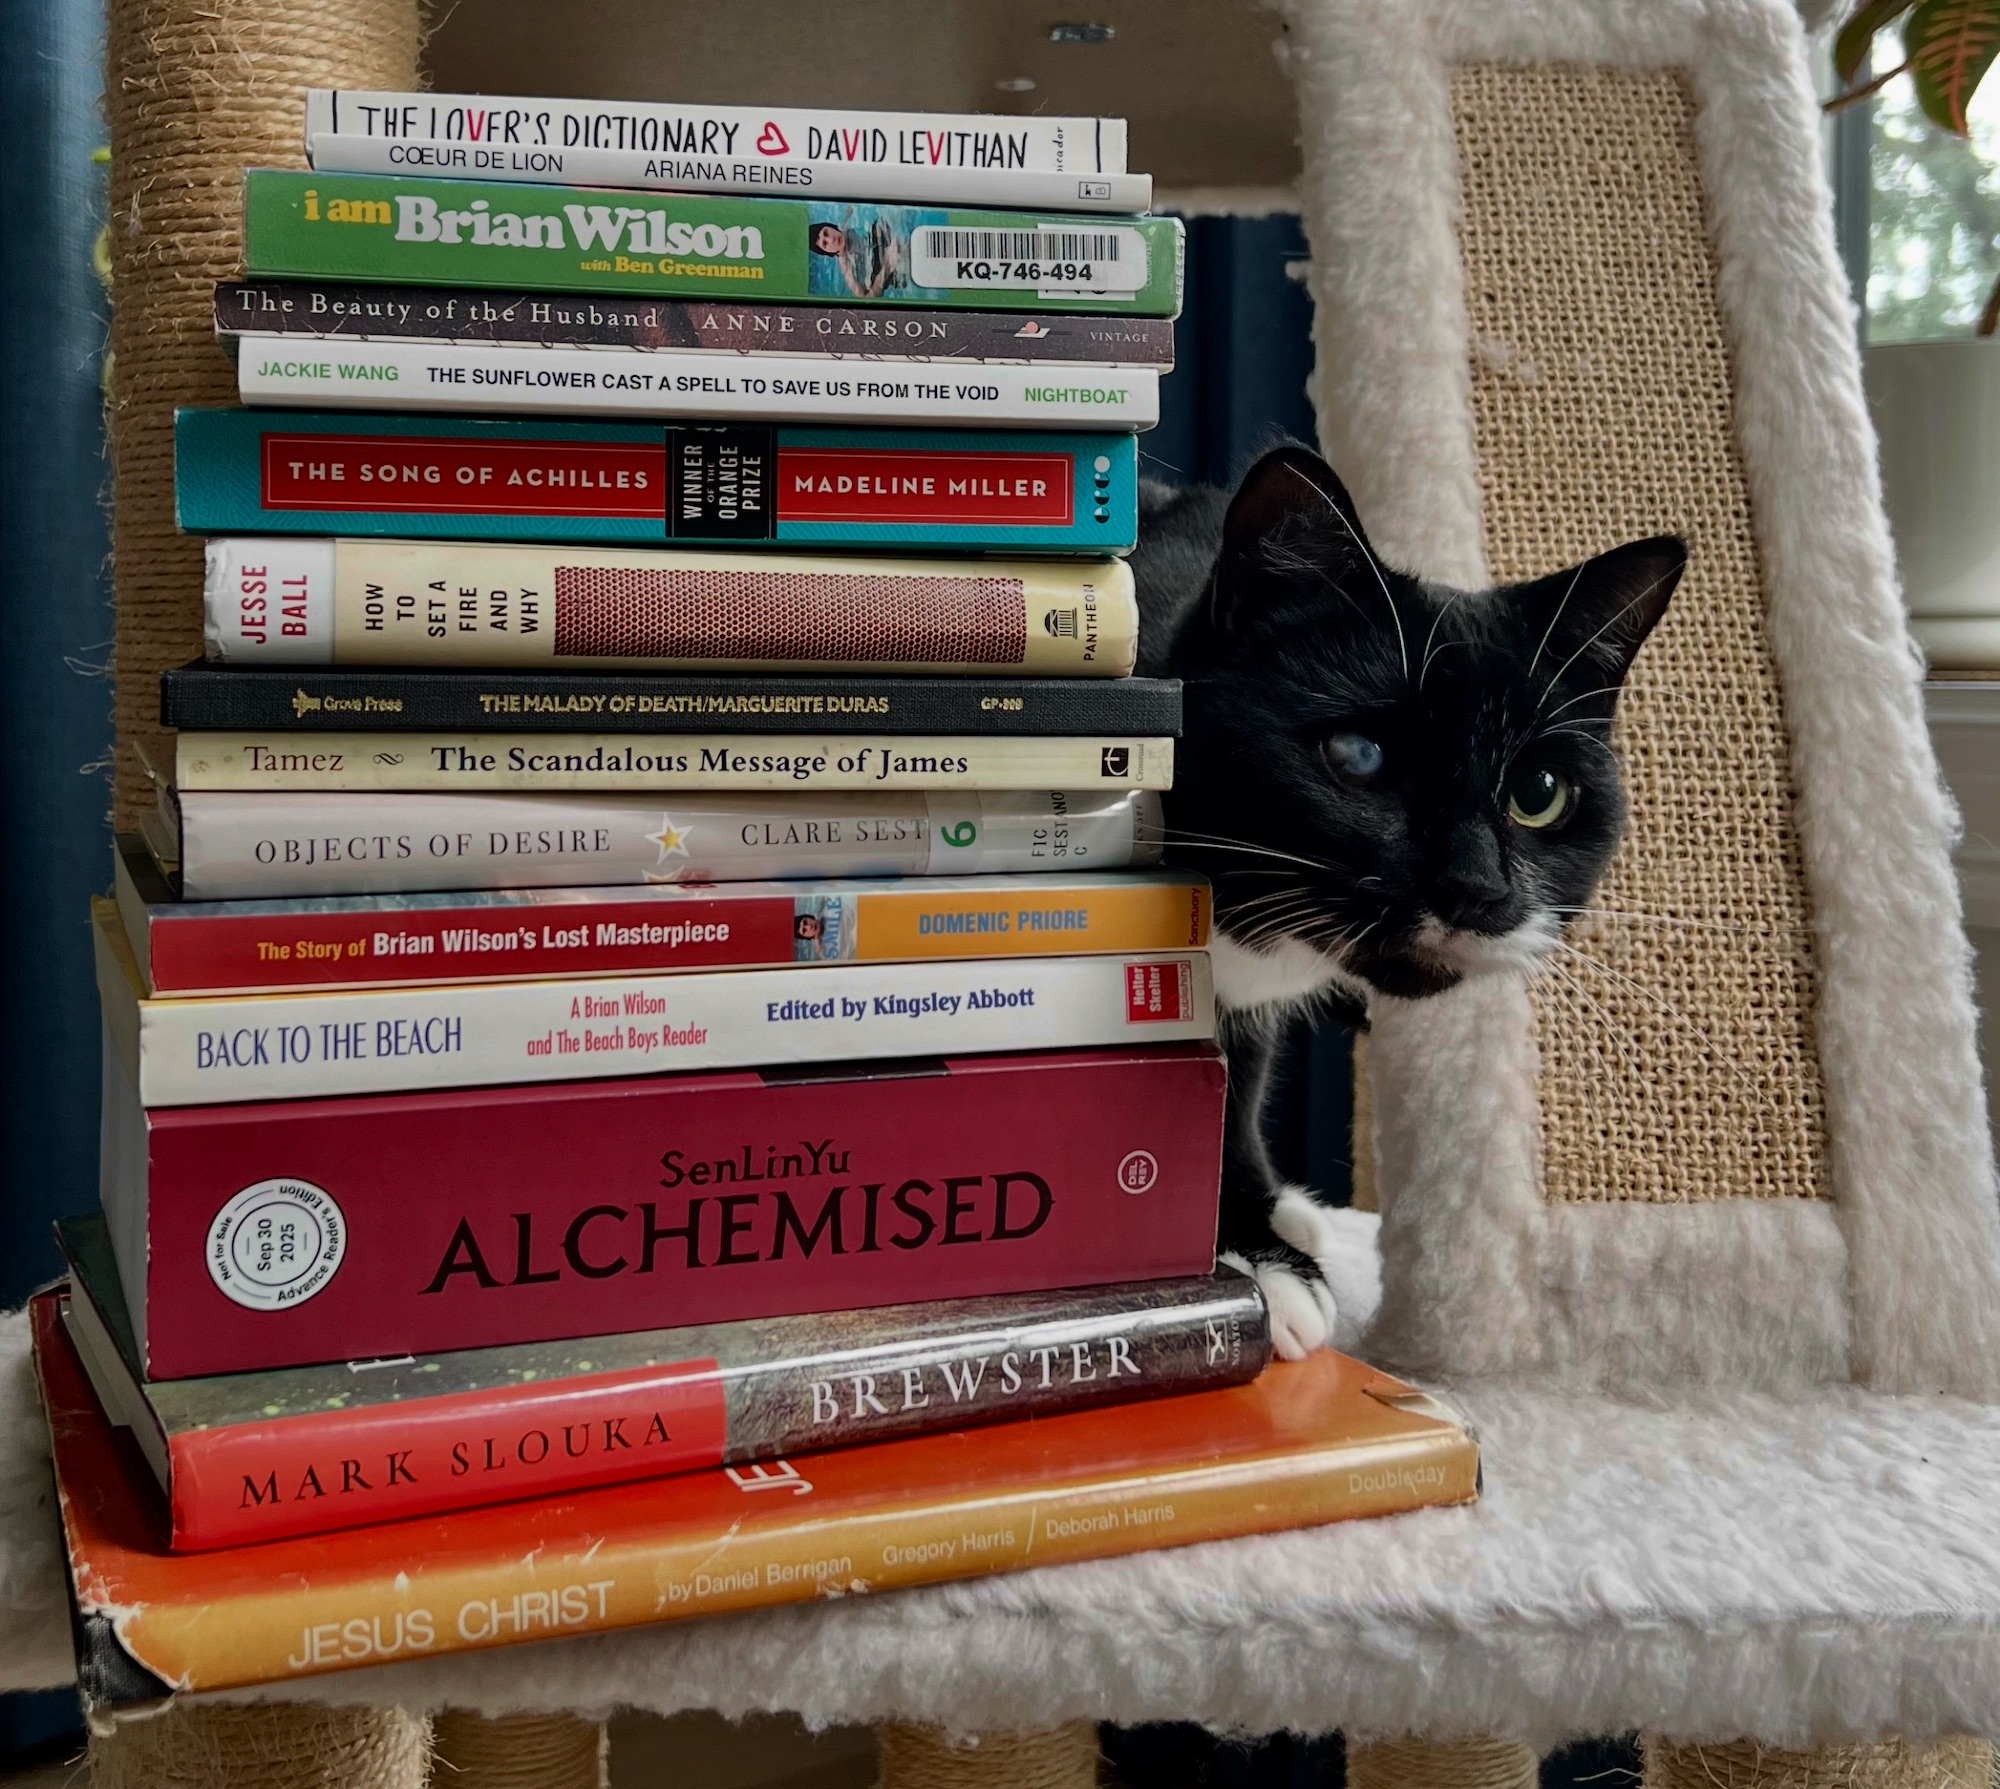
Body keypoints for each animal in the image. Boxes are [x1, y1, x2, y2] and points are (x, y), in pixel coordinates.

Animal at [1130, 444, 1685, 1358]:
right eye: (1358, 755)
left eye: (1540, 793)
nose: (1477, 887)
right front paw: (1256, 1260)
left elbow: (1232, 1097)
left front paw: (1257, 1227)